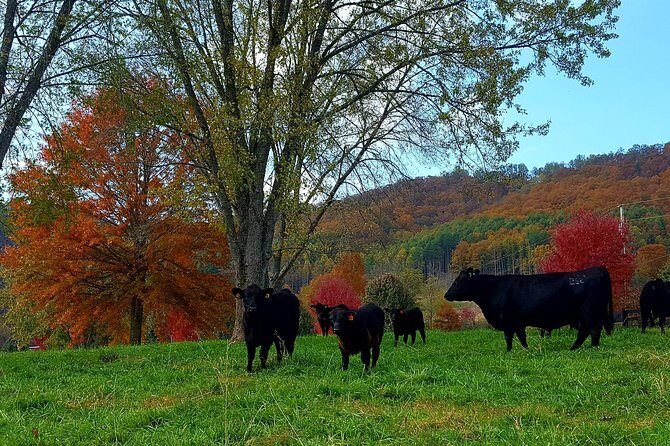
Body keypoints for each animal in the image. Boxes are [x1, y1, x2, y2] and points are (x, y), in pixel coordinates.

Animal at [444, 267, 614, 351]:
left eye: (457, 281)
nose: (446, 295)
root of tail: (596, 268)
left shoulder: (508, 321)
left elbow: (509, 337)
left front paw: (509, 351)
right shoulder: (518, 322)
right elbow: (522, 337)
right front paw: (526, 349)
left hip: (589, 311)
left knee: (592, 329)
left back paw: (590, 347)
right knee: (586, 331)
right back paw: (576, 347)